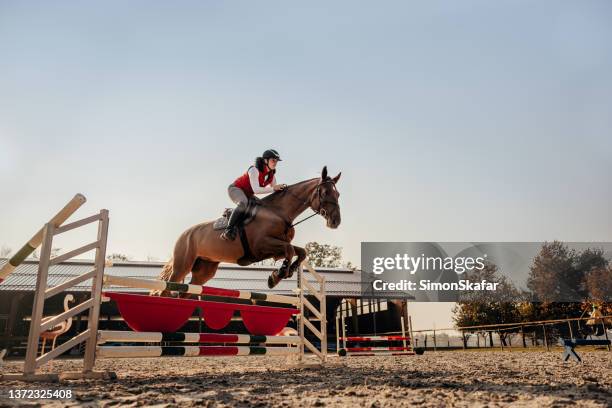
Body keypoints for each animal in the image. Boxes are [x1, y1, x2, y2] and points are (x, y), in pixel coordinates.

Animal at [154, 166, 340, 296]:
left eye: (337, 194)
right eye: (324, 192)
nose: (335, 222)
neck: (278, 213)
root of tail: (184, 234)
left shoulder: (275, 248)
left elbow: (300, 252)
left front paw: (288, 270)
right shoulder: (262, 245)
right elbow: (290, 250)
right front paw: (277, 276)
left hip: (204, 270)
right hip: (182, 265)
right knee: (167, 288)